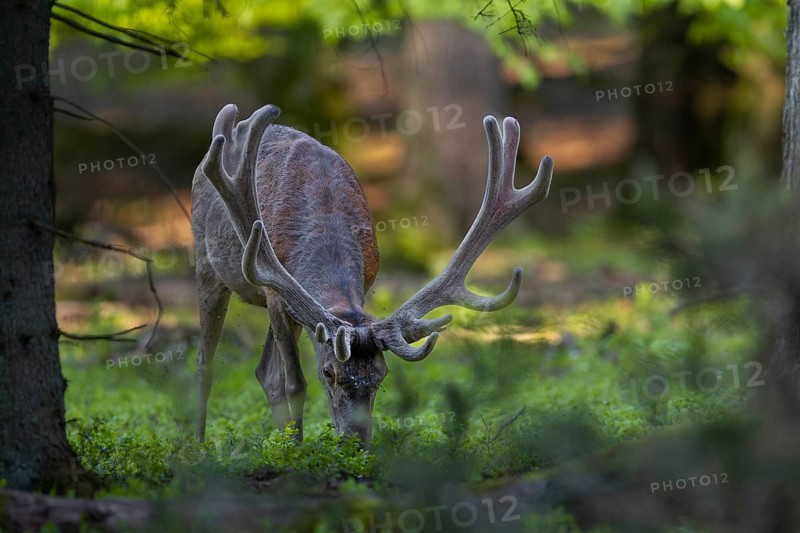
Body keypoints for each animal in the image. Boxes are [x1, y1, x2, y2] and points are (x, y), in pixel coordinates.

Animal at [192, 103, 554, 446]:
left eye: (382, 375)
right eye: (329, 373)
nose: (356, 441)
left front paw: (290, 444)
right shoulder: (274, 292)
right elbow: (294, 382)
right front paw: (295, 451)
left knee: (264, 371)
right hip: (205, 265)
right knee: (206, 365)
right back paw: (200, 445)